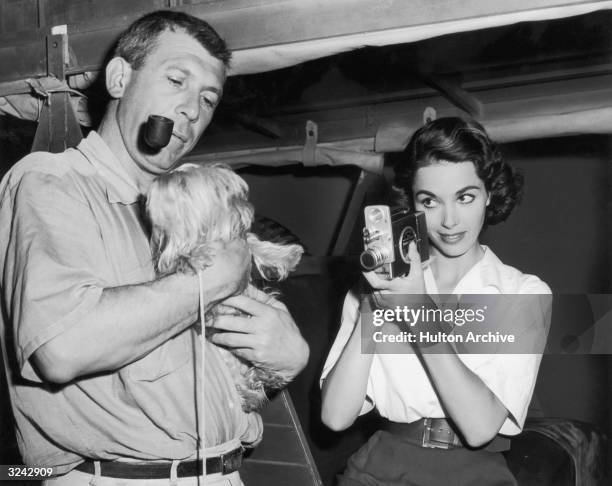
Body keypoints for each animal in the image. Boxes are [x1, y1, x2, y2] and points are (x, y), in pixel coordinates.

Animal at [146, 163, 304, 410]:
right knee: (244, 382)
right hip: (230, 361)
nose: (160, 177)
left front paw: (285, 256)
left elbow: (252, 241)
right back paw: (249, 393)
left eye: (182, 182)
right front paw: (193, 256)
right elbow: (178, 259)